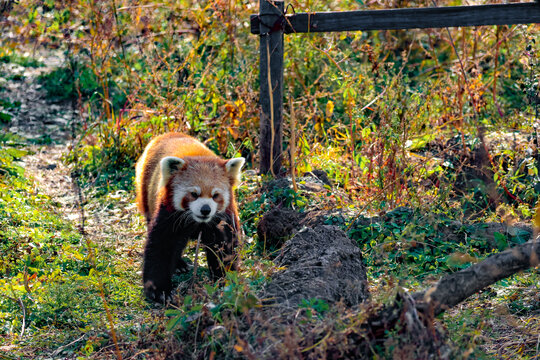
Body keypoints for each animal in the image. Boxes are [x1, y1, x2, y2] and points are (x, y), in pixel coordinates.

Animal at [135, 132, 245, 300]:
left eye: (215, 195)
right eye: (194, 194)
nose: (205, 210)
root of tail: (165, 135)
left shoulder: (222, 219)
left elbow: (224, 246)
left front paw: (224, 279)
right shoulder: (169, 214)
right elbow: (161, 246)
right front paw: (158, 290)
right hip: (146, 189)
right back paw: (179, 264)